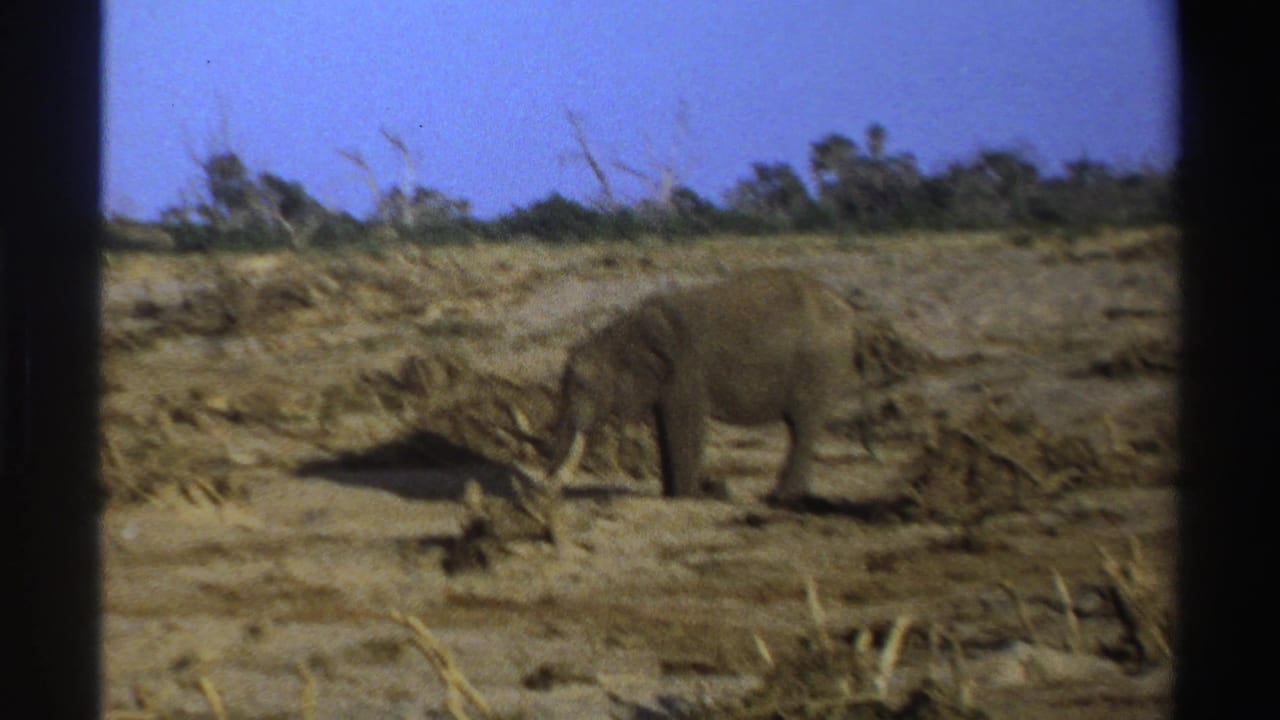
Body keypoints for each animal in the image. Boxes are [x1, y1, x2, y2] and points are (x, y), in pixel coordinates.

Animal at [540, 268, 908, 502]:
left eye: (583, 386)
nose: (548, 484)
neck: (622, 328)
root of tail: (854, 314)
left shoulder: (686, 368)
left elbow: (685, 424)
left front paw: (686, 498)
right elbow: (666, 426)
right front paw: (676, 494)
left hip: (820, 364)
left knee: (804, 425)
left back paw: (780, 498)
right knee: (800, 427)